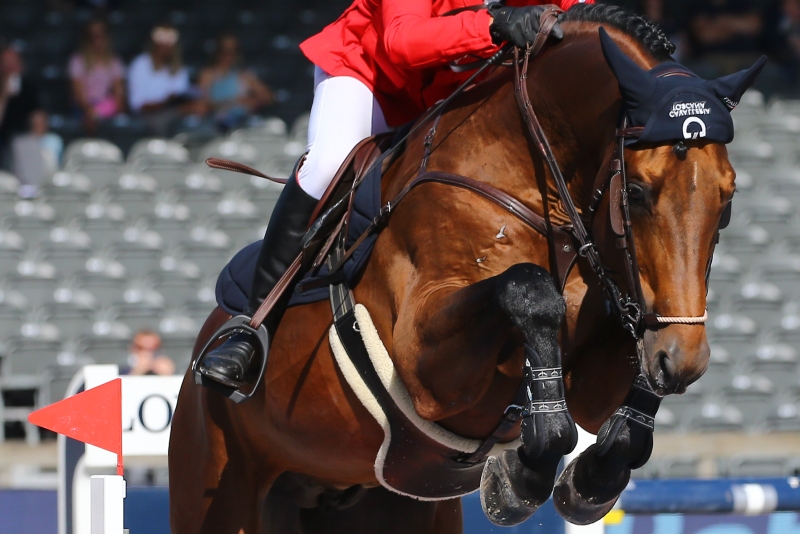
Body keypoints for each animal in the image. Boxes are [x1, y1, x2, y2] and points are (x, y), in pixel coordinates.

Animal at [167, 6, 744, 532]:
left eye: (727, 200)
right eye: (638, 192)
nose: (683, 361)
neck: (528, 177)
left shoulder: (605, 358)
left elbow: (623, 393)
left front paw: (588, 480)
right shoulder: (424, 361)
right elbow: (529, 291)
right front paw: (522, 475)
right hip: (218, 484)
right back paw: (234, 355)